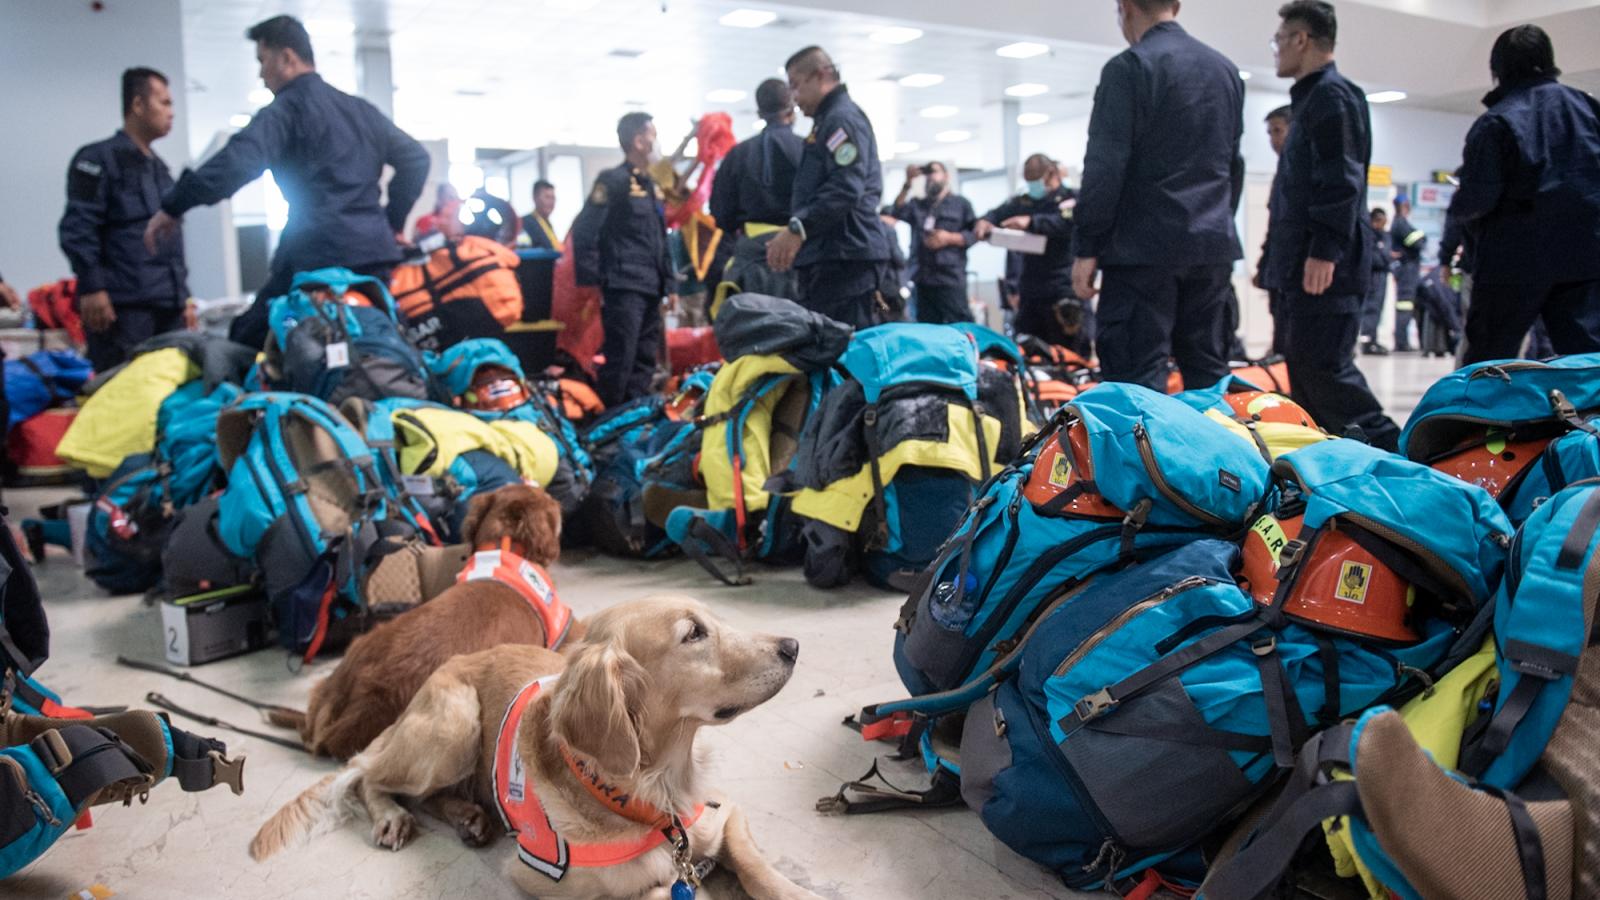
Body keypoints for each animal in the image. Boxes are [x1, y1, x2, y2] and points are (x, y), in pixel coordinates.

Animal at [257, 592, 825, 890]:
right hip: (453, 726)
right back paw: (393, 816)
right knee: (367, 778)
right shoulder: (542, 879)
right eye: (693, 634)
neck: (647, 794)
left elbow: (759, 869)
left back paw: (468, 816)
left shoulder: (723, 815)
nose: (794, 646)